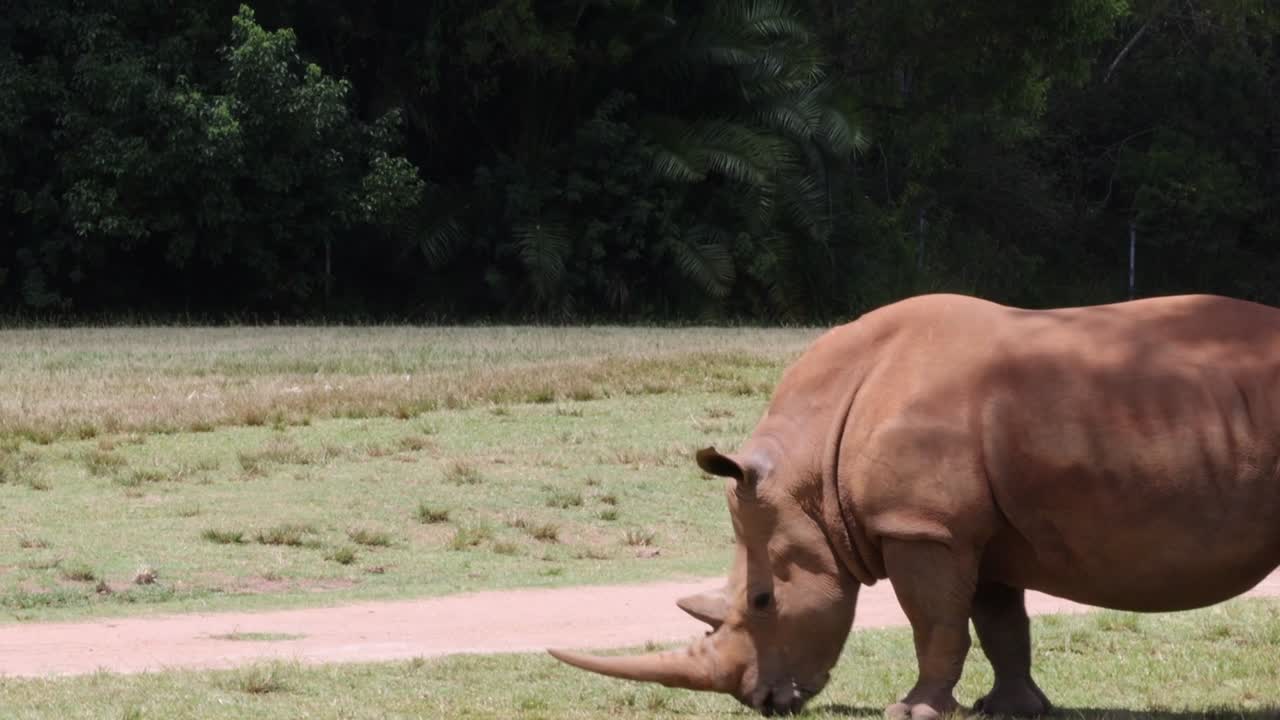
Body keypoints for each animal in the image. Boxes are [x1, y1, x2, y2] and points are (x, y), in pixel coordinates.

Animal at [549, 293, 1280, 718]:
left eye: (761, 601)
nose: (763, 702)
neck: (810, 470)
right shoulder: (973, 531)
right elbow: (998, 624)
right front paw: (1009, 710)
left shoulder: (921, 527)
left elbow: (935, 625)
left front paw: (914, 711)